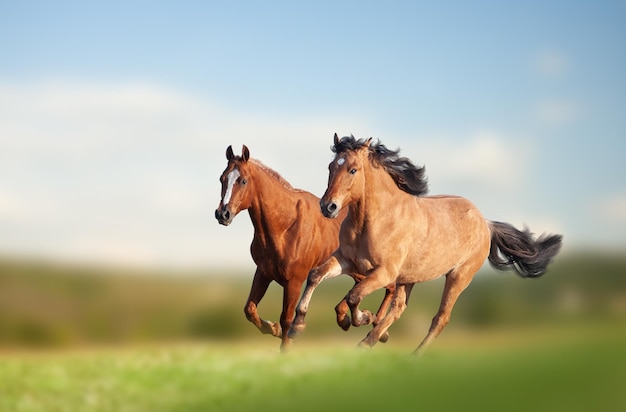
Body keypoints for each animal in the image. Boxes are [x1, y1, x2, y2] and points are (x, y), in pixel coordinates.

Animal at [212, 145, 392, 350]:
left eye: (243, 180)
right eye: (222, 178)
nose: (223, 214)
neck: (285, 226)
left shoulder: (294, 281)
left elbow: (286, 319)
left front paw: (285, 347)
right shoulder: (264, 272)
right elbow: (249, 309)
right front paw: (273, 328)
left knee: (390, 287)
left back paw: (377, 328)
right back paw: (355, 320)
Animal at [290, 135, 564, 354]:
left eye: (353, 170)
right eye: (330, 166)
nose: (328, 207)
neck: (374, 219)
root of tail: (486, 224)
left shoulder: (383, 272)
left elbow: (354, 295)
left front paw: (361, 317)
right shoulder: (347, 260)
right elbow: (316, 275)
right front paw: (298, 326)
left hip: (458, 277)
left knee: (440, 318)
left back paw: (411, 355)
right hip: (409, 278)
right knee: (399, 308)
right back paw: (370, 341)